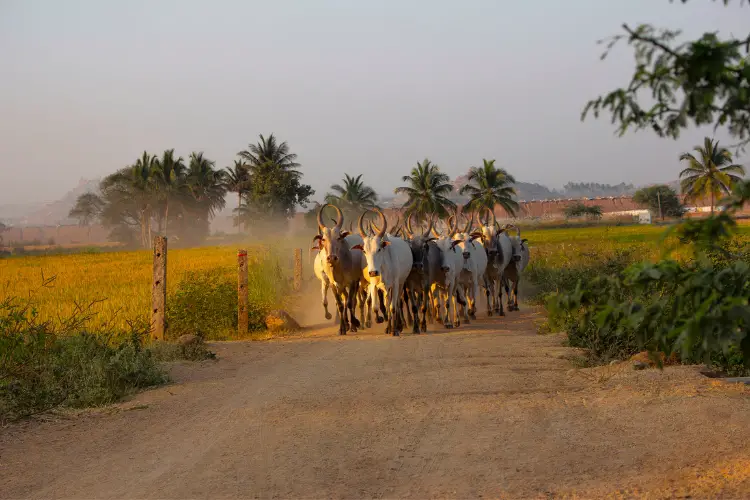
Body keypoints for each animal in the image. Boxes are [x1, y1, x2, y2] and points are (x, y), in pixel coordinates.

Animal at [312, 203, 366, 336]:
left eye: (338, 238)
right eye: (324, 239)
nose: (331, 258)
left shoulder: (351, 282)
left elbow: (351, 303)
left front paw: (354, 324)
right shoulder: (333, 284)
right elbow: (340, 305)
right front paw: (342, 328)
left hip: (356, 282)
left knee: (352, 301)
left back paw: (354, 324)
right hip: (341, 286)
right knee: (345, 300)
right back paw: (347, 323)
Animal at [354, 207, 418, 336]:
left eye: (379, 249)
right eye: (364, 251)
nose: (373, 272)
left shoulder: (395, 285)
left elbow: (393, 307)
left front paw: (395, 330)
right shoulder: (374, 285)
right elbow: (375, 306)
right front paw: (379, 319)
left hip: (400, 284)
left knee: (396, 304)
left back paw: (398, 326)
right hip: (385, 288)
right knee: (387, 303)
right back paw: (388, 327)